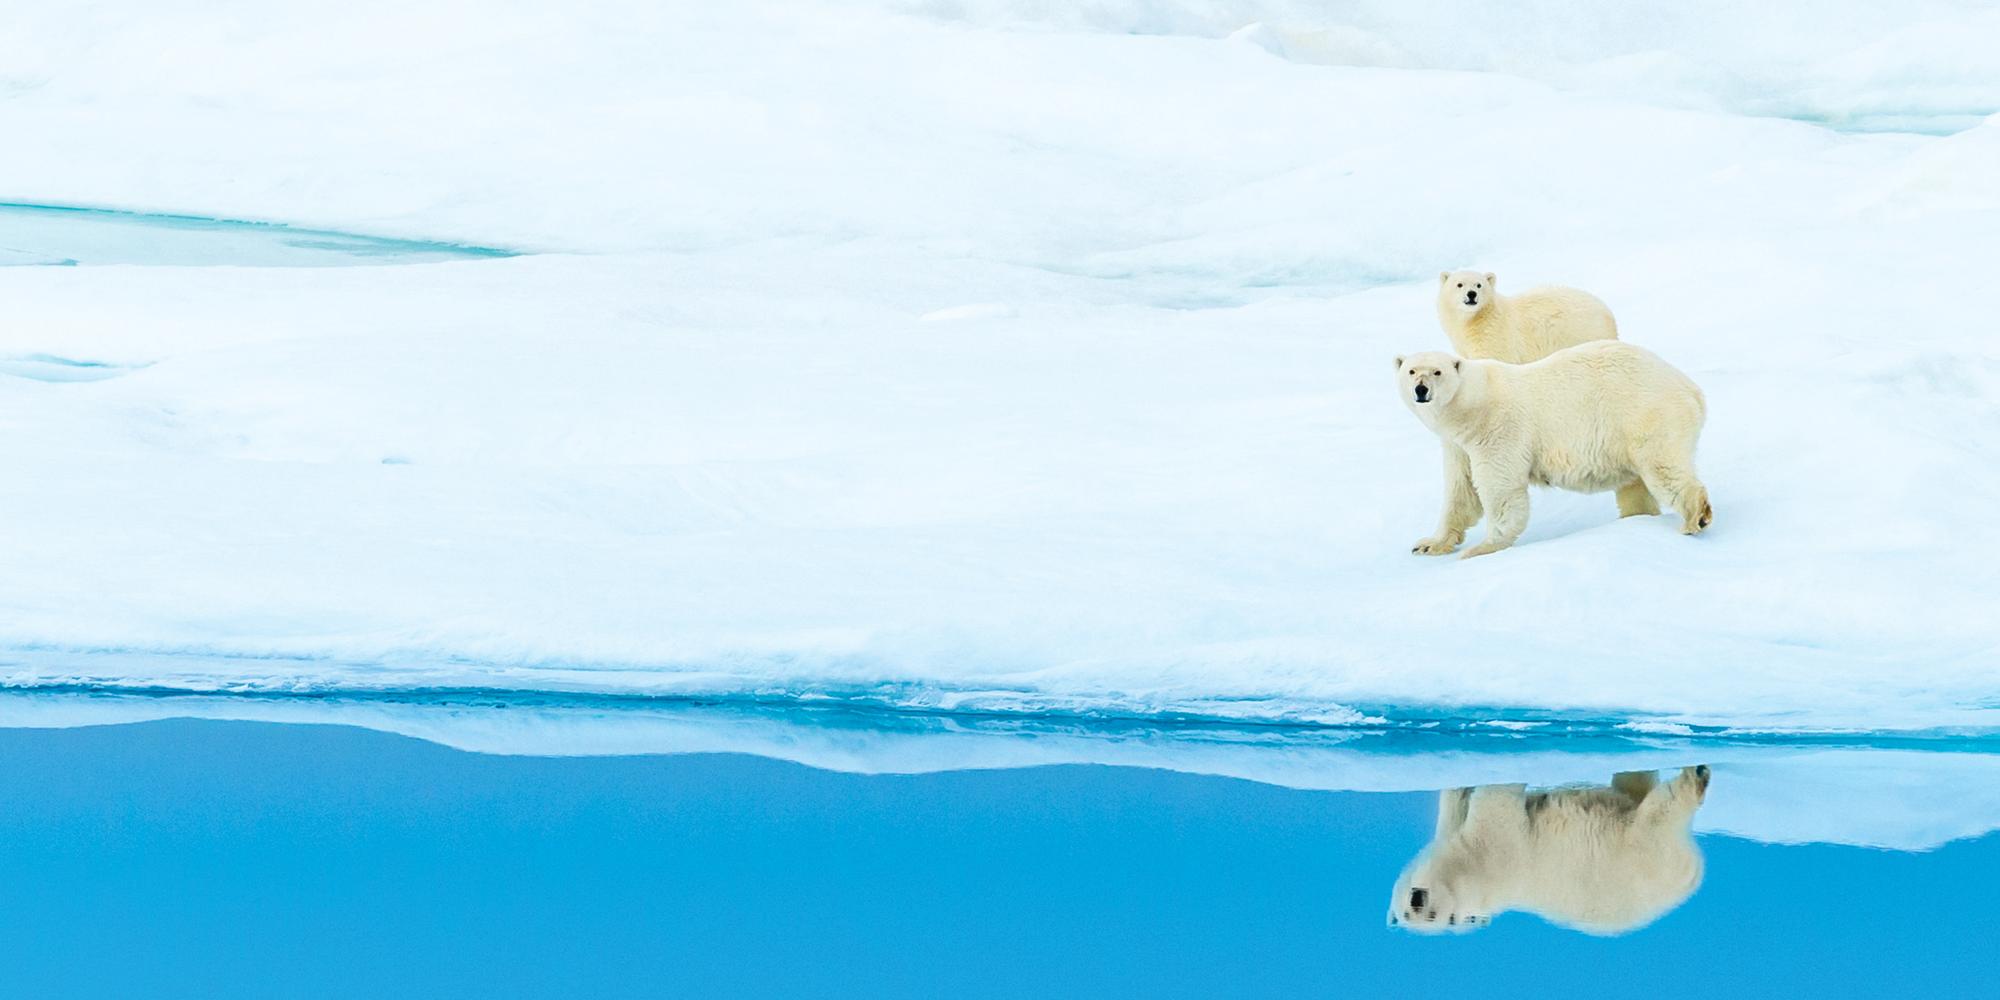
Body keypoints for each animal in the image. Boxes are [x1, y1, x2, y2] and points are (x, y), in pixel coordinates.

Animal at [1384, 764, 1712, 936]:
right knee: (1645, 798)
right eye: (1407, 912)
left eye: (1433, 915)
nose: (1418, 900)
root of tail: (1694, 873)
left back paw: (1696, 775)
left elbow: (1485, 800)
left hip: (1644, 854)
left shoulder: (1492, 849)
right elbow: (1476, 805)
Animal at [1400, 342, 1712, 564]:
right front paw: (1427, 544)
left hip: (1646, 415)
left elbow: (1500, 488)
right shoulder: (1457, 445)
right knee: (1636, 485)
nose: (1421, 390)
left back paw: (1695, 517)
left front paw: (1482, 549)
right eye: (1411, 371)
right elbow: (1461, 491)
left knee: (1663, 467)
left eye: (1437, 371)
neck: (1472, 405)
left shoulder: (1499, 429)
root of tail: (1692, 390)